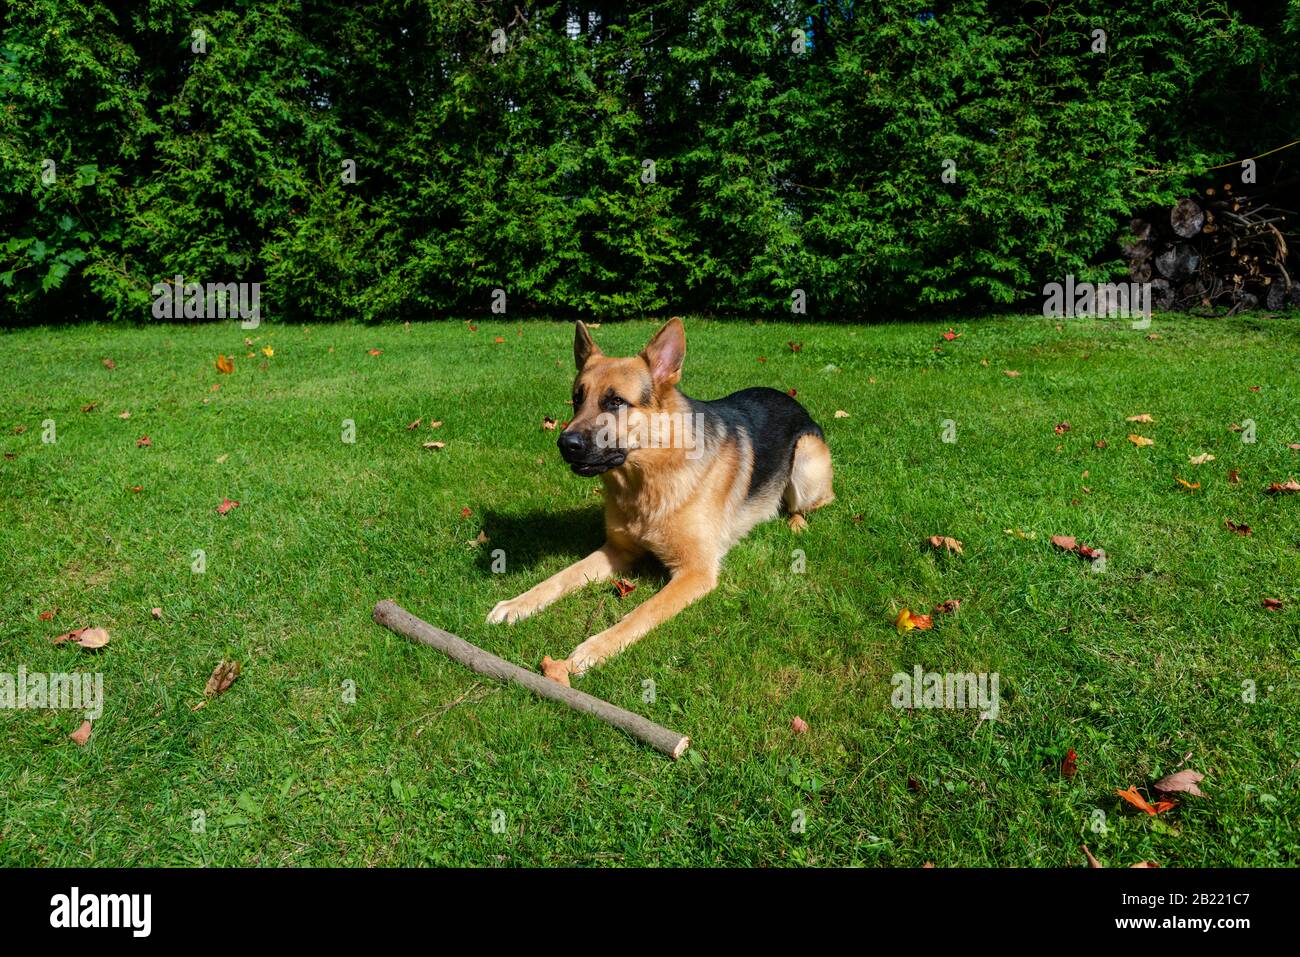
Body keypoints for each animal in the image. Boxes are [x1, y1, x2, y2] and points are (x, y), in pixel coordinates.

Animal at [486, 317, 832, 686]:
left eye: (616, 402)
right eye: (577, 399)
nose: (566, 444)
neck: (647, 479)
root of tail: (791, 400)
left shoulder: (694, 572)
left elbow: (642, 612)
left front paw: (595, 647)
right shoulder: (617, 551)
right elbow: (561, 577)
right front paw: (518, 604)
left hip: (806, 460)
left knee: (811, 503)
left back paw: (795, 522)